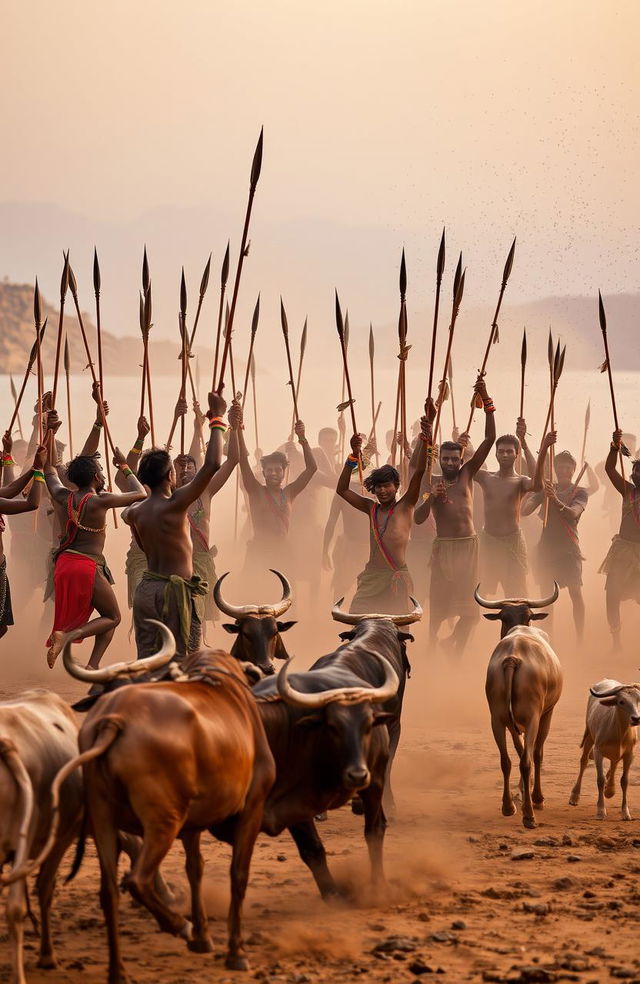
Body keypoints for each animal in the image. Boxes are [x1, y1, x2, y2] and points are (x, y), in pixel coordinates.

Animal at [28, 624, 274, 984]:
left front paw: (203, 936)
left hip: (103, 818)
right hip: (163, 821)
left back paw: (119, 970)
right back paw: (178, 925)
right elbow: (238, 875)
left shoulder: (193, 823)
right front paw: (235, 952)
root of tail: (114, 721)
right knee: (137, 879)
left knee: (109, 891)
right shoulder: (252, 807)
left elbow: (195, 869)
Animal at [478, 584, 564, 832]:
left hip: (496, 719)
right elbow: (536, 753)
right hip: (534, 717)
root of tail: (512, 659)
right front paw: (535, 797)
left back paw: (508, 806)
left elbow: (517, 750)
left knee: (505, 759)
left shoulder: (510, 721)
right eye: (503, 617)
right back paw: (529, 814)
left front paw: (522, 792)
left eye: (528, 615)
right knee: (527, 759)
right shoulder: (546, 713)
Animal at [568, 676, 640, 824]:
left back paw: (610, 789)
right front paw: (601, 811)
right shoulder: (598, 752)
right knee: (584, 762)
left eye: (639, 699)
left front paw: (625, 812)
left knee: (614, 763)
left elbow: (624, 781)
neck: (619, 732)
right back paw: (574, 796)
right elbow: (600, 779)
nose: (636, 719)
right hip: (589, 737)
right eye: (621, 701)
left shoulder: (629, 754)